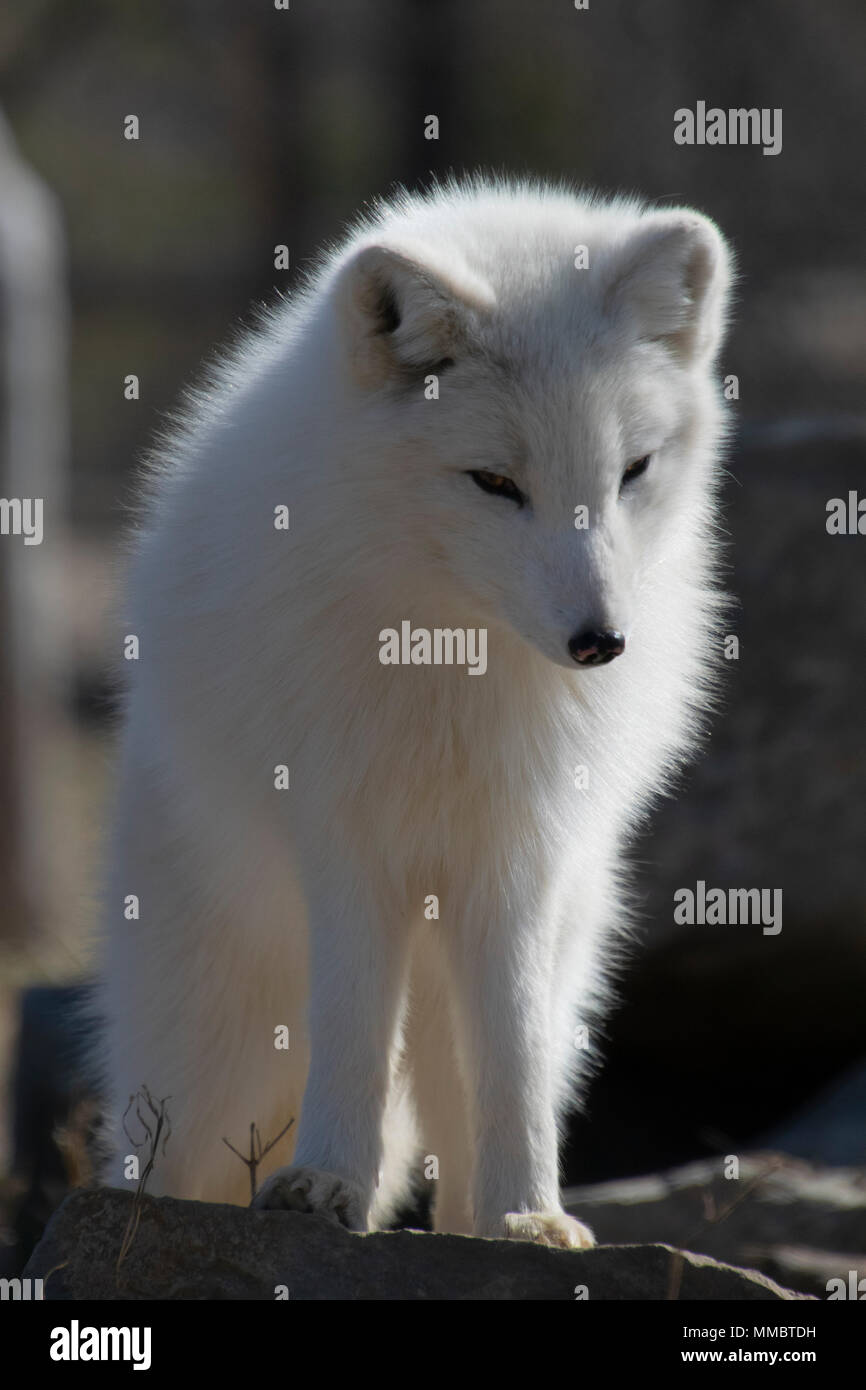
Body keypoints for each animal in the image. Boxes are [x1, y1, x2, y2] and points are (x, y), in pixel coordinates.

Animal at [96, 178, 733, 1247]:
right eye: (495, 482)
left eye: (632, 471)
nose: (600, 642)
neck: (450, 661)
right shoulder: (346, 841)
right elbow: (352, 1028)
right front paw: (324, 1185)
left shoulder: (519, 857)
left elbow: (512, 1060)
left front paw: (530, 1215)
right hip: (209, 1044)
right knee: (168, 1157)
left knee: (459, 1106)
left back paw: (485, 1221)